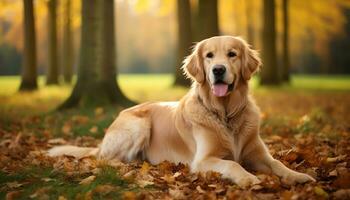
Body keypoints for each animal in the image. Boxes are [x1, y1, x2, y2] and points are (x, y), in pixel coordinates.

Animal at [48, 35, 314, 188]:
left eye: (232, 54)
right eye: (209, 56)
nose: (218, 70)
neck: (226, 113)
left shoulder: (258, 153)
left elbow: (277, 163)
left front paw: (299, 176)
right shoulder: (203, 160)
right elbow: (232, 164)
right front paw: (247, 178)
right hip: (138, 125)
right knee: (106, 159)